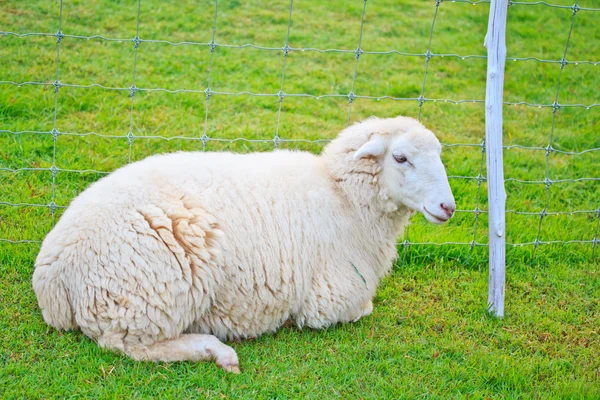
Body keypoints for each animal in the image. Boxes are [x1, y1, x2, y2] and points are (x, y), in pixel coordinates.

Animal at [31, 115, 454, 372]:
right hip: (147, 294)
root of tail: (51, 273)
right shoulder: (329, 302)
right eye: (401, 158)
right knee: (128, 346)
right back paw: (216, 350)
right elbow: (363, 309)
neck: (343, 198)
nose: (448, 207)